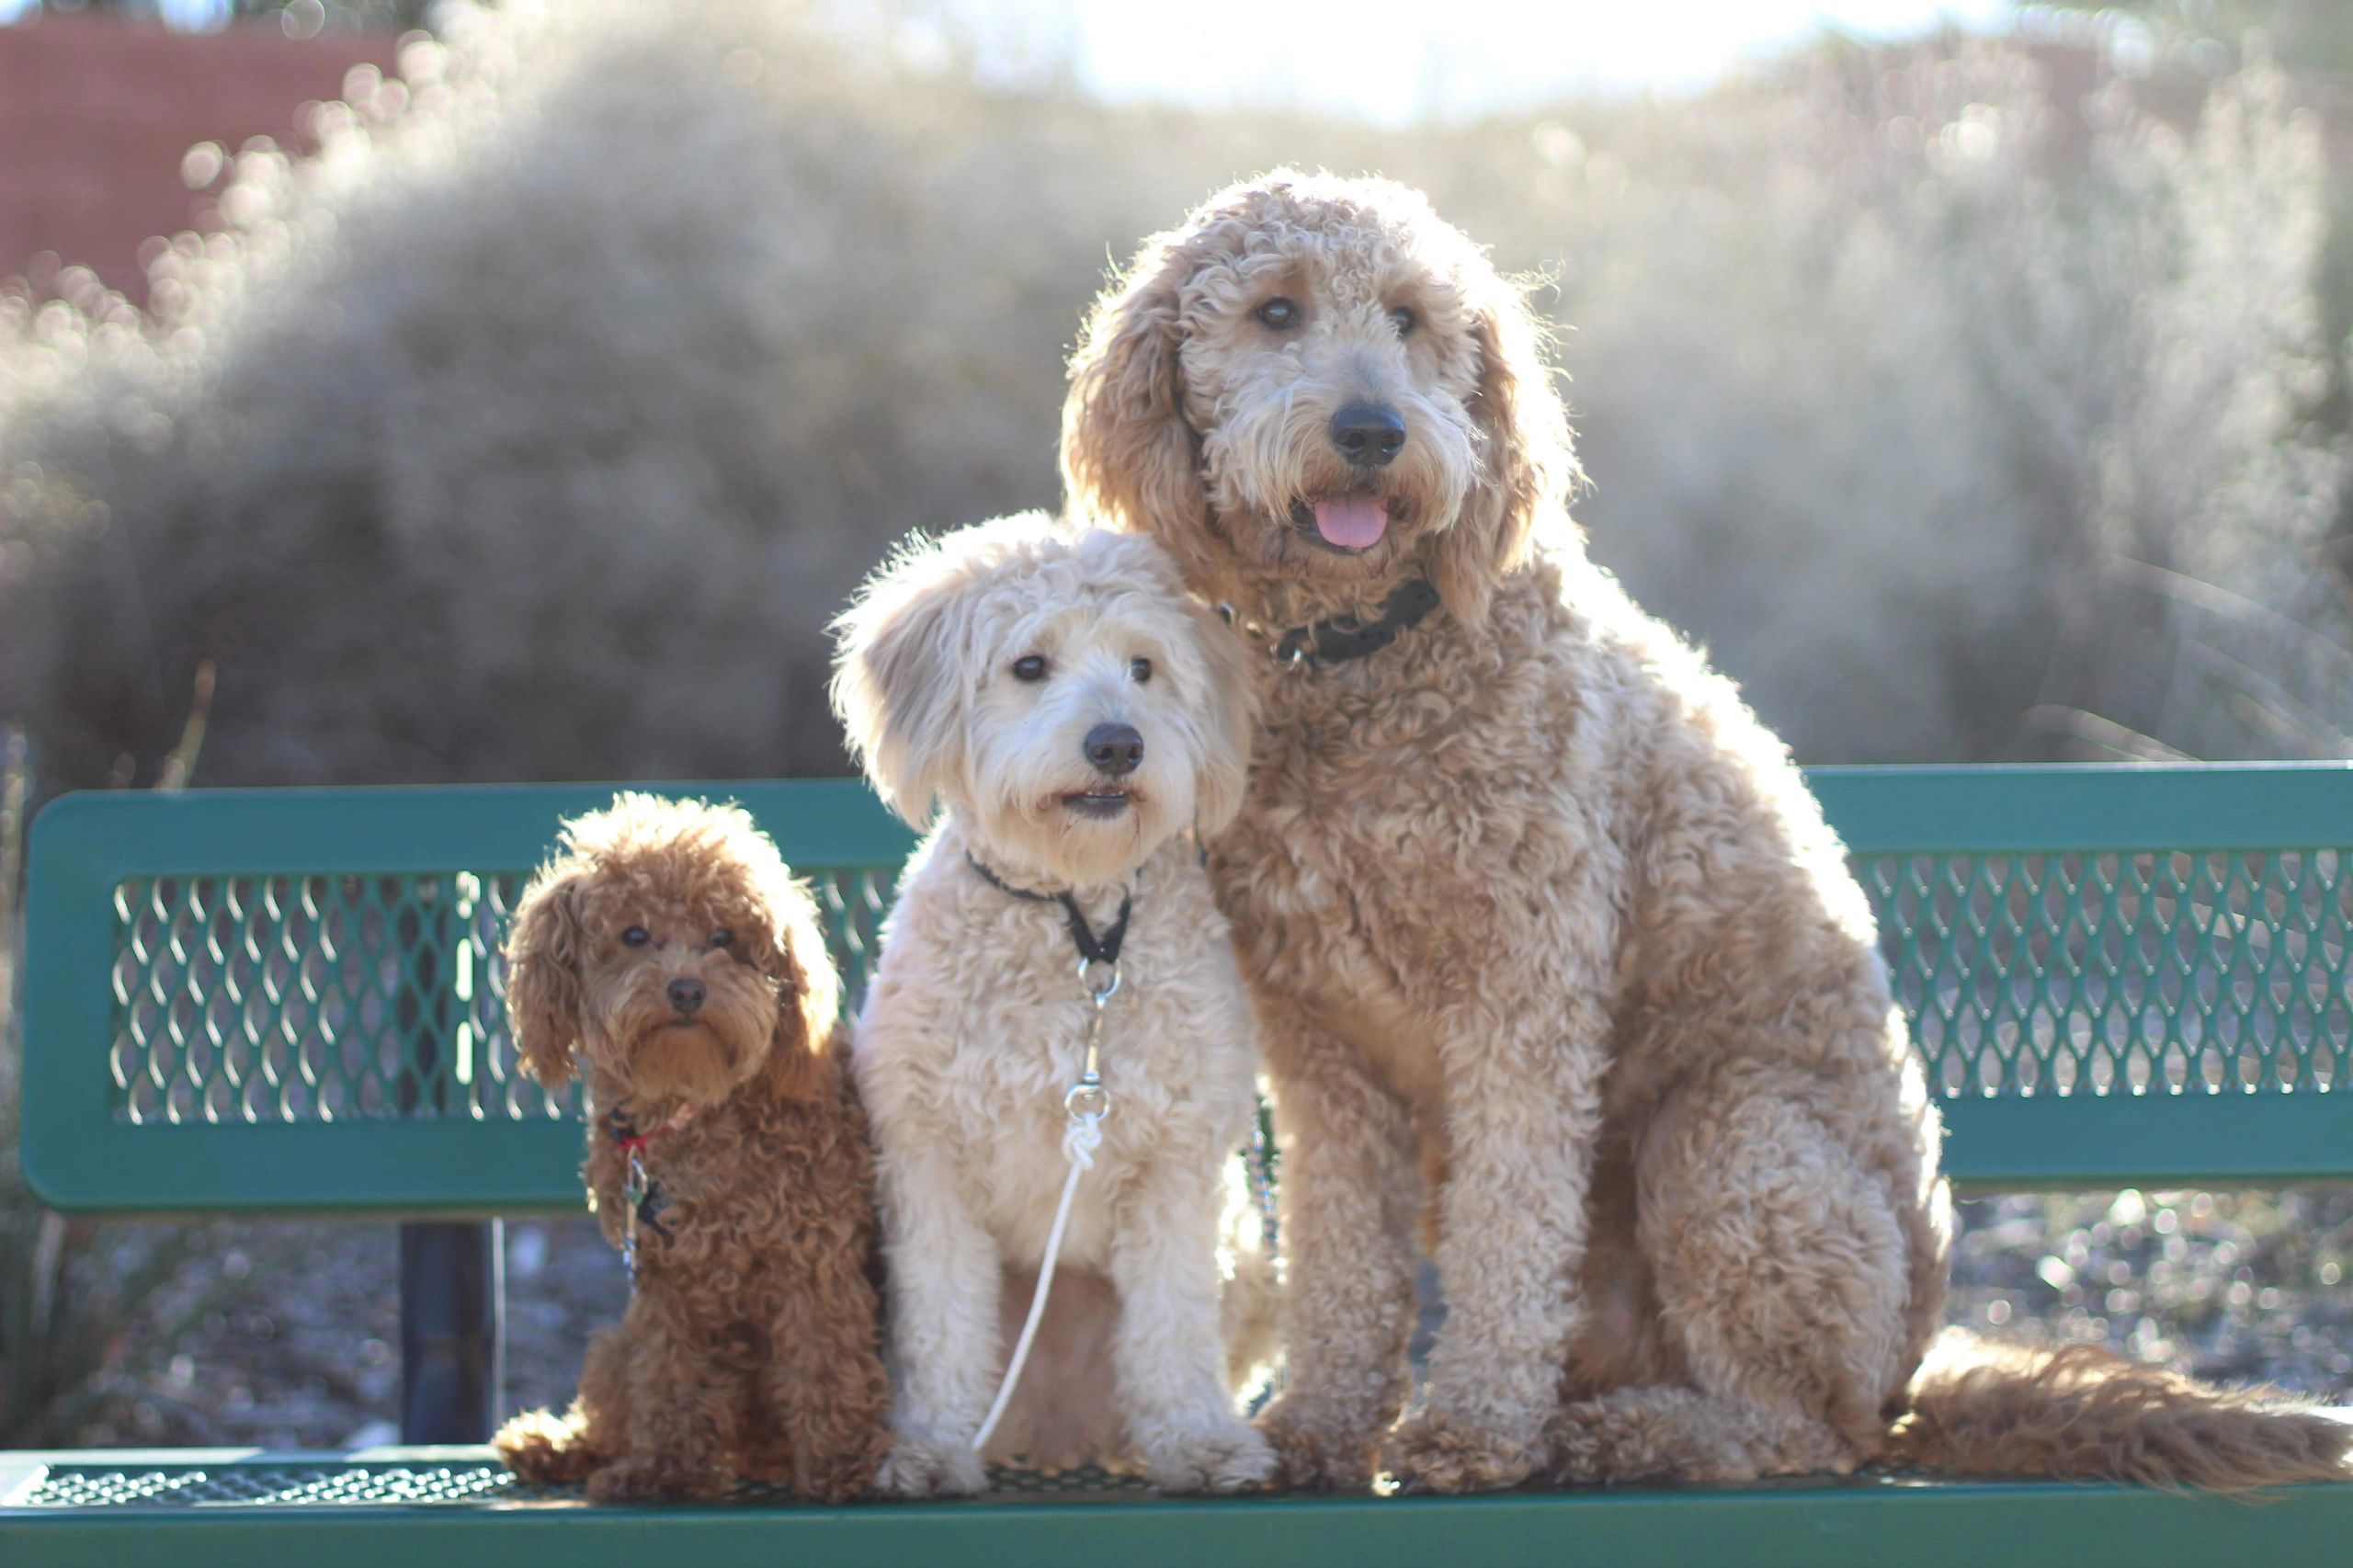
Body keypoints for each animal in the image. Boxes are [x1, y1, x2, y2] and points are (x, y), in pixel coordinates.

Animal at [492, 795, 884, 1506]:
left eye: (724, 937)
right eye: (634, 935)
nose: (686, 989)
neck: (693, 1108)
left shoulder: (813, 1259)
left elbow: (827, 1361)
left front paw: (846, 1466)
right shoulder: (664, 1279)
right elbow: (670, 1375)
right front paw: (665, 1470)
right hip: (616, 1342)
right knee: (614, 1401)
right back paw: (555, 1446)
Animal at [833, 513, 1279, 1487]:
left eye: (1145, 666)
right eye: (1029, 665)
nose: (1118, 743)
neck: (1077, 930)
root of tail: (1057, 1436)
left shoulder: (1177, 1169)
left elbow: (1172, 1323)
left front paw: (1197, 1440)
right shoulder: (927, 1161)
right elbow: (943, 1326)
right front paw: (932, 1446)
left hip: (1255, 1256)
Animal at [1063, 168, 2353, 1487]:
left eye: (1414, 319)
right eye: (1275, 311)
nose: (1376, 430)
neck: (1366, 654)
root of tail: (1912, 1371)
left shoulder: (1525, 997)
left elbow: (1510, 1233)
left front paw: (1474, 1427)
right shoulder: (1320, 1044)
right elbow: (1342, 1258)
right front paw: (1324, 1422)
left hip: (1728, 1139)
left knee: (1802, 1431)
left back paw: (1609, 1434)